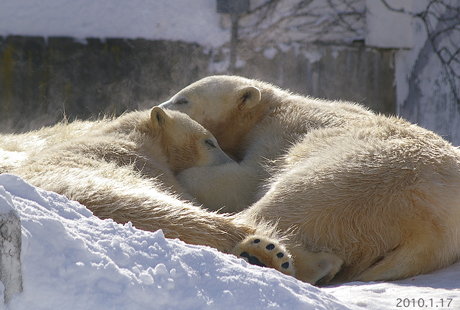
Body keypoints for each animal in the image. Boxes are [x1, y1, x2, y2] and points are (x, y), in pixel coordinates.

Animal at [0, 108, 294, 278]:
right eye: (209, 142)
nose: (232, 161)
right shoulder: (141, 163)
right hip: (110, 190)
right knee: (175, 214)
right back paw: (266, 252)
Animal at [160, 75, 460, 284]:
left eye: (182, 99)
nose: (158, 107)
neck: (272, 107)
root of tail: (430, 234)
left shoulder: (280, 134)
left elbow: (244, 179)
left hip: (362, 177)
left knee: (288, 201)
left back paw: (261, 253)